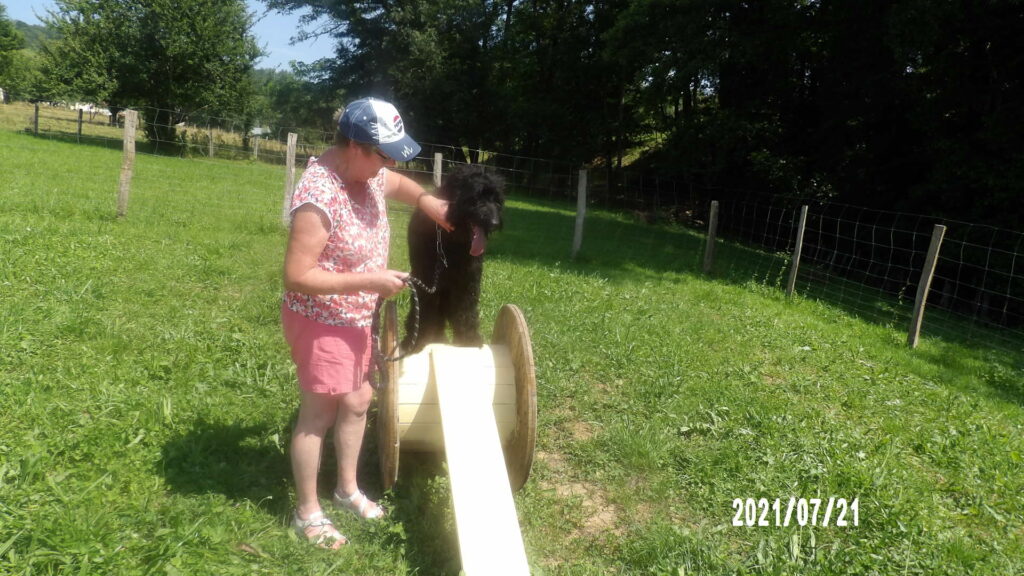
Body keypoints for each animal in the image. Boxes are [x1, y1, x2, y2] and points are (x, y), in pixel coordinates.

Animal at [403, 163, 507, 352]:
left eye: (497, 199)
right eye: (477, 197)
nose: (495, 223)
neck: (449, 239)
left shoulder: (467, 281)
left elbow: (467, 310)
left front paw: (470, 339)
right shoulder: (426, 279)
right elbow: (425, 309)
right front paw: (419, 340)